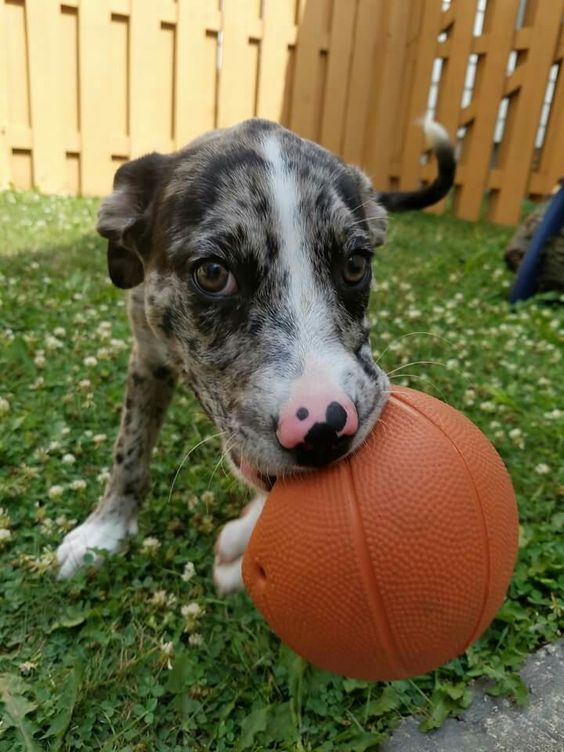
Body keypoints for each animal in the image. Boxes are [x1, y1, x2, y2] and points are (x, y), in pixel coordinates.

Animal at [57, 117, 454, 592]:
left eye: (356, 265)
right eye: (213, 273)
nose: (324, 431)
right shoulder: (147, 359)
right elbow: (129, 448)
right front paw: (104, 530)